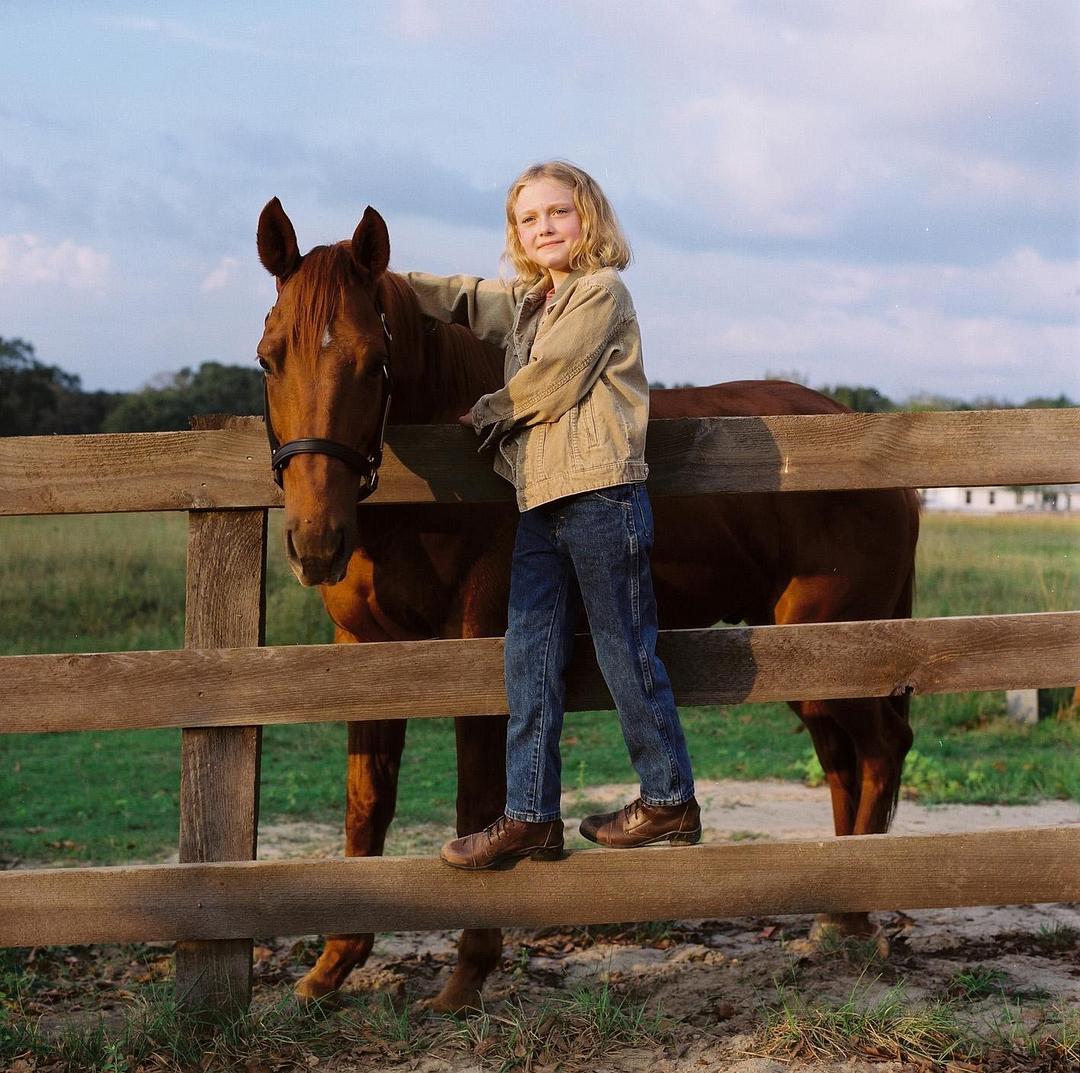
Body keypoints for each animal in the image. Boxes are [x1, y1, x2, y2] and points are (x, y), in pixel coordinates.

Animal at [257, 200, 915, 1010]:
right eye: (269, 358)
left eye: (373, 361)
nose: (316, 539)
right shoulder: (365, 652)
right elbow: (366, 803)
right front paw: (330, 968)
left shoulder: (478, 648)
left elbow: (478, 797)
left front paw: (466, 977)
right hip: (808, 659)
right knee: (845, 762)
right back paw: (832, 918)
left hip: (839, 647)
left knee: (880, 751)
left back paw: (852, 919)